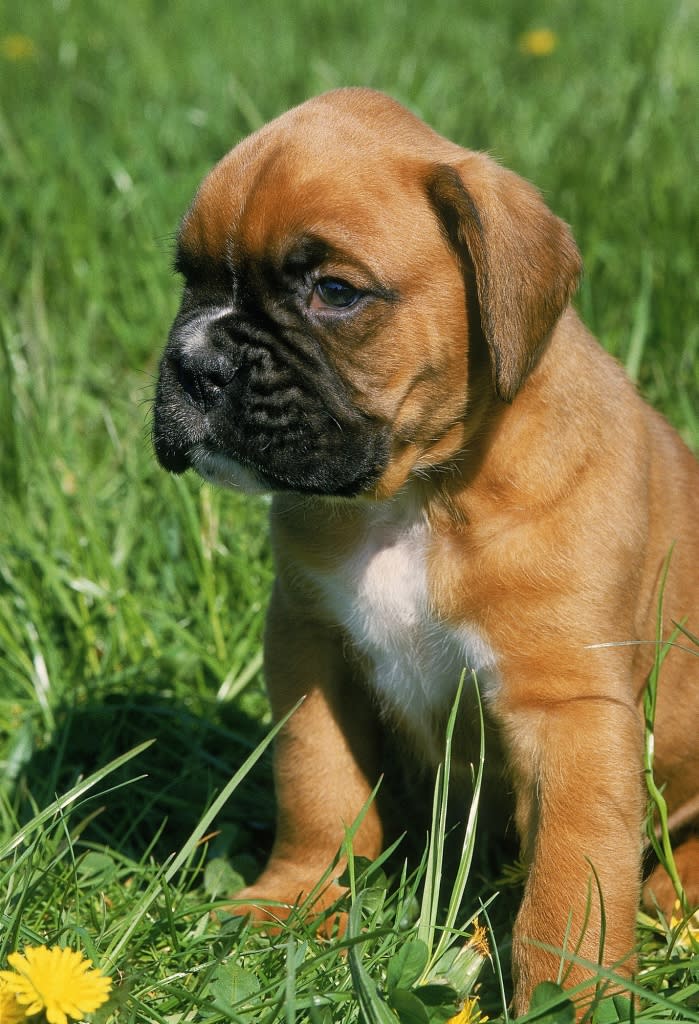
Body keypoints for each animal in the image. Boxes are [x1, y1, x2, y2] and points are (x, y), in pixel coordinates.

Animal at [154, 90, 699, 1015]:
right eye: (191, 277)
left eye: (334, 292)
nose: (195, 362)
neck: (417, 497)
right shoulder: (308, 649)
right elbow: (316, 785)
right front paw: (293, 897)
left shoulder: (571, 712)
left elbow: (572, 878)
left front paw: (566, 997)